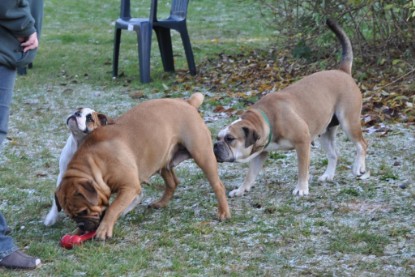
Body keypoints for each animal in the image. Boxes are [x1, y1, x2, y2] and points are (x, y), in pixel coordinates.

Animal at [54, 93, 231, 239]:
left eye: (84, 211)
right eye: (71, 216)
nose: (81, 225)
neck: (95, 163)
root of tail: (187, 102)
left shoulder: (130, 187)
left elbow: (113, 208)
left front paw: (104, 229)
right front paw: (77, 231)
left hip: (202, 155)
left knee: (217, 185)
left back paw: (223, 212)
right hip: (161, 158)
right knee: (172, 183)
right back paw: (160, 203)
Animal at [213, 18, 368, 196]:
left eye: (230, 139)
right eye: (217, 137)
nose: (215, 146)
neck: (267, 120)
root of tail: (342, 71)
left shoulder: (302, 143)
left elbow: (302, 169)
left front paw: (301, 188)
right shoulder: (260, 153)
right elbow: (250, 174)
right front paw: (241, 190)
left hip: (349, 122)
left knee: (362, 144)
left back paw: (358, 168)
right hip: (325, 132)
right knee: (334, 154)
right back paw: (328, 175)